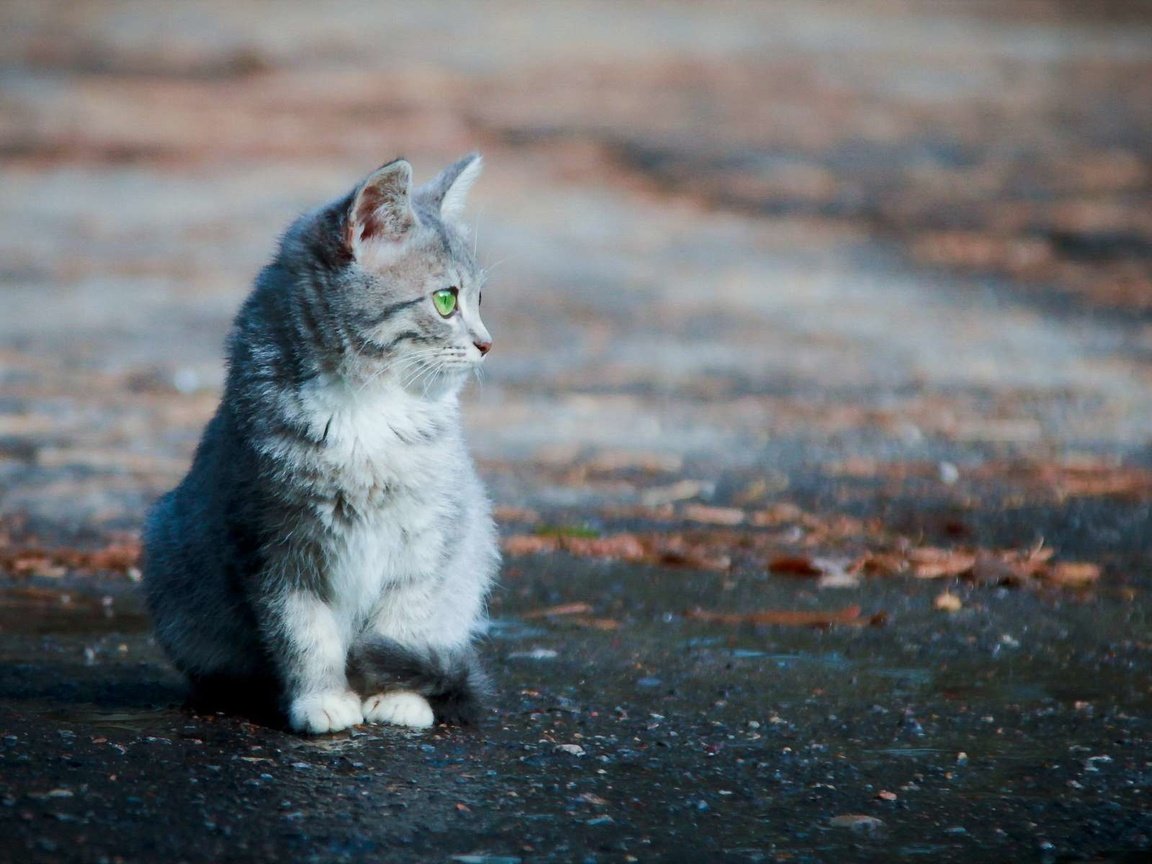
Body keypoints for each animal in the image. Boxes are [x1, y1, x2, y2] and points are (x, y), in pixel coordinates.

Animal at [140, 155, 499, 737]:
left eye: (480, 300)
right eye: (446, 300)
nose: (487, 344)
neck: (368, 411)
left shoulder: (429, 537)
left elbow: (405, 621)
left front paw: (396, 697)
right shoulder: (272, 547)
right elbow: (304, 635)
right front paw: (322, 699)